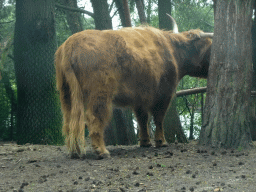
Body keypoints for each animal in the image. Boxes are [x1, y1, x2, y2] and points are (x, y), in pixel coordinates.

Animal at [55, 15, 213, 159]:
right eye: (210, 47)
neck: (174, 52)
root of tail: (70, 43)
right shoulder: (164, 93)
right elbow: (158, 117)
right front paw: (161, 142)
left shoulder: (140, 96)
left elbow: (142, 119)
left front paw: (145, 142)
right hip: (100, 92)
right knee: (94, 117)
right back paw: (101, 151)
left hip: (66, 93)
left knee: (69, 120)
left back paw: (74, 151)